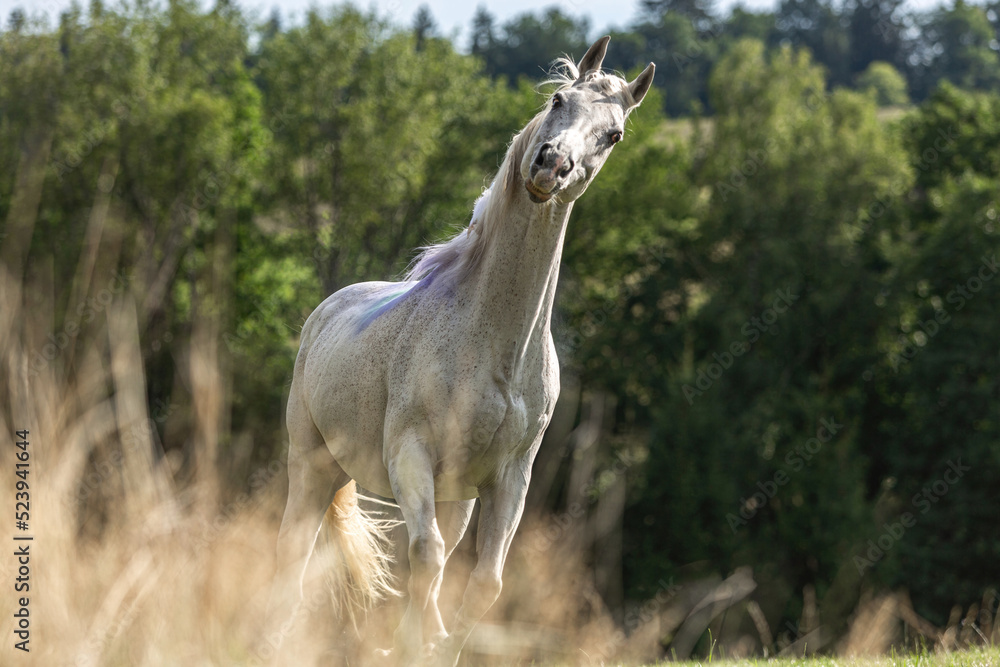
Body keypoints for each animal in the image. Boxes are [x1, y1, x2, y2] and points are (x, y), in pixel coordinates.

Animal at [272, 35, 654, 665]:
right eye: (559, 100)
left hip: (453, 498)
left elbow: (480, 584)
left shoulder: (507, 481)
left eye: (614, 134)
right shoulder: (411, 457)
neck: (498, 349)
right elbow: (424, 561)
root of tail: (325, 312)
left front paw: (431, 644)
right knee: (296, 556)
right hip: (310, 467)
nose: (551, 165)